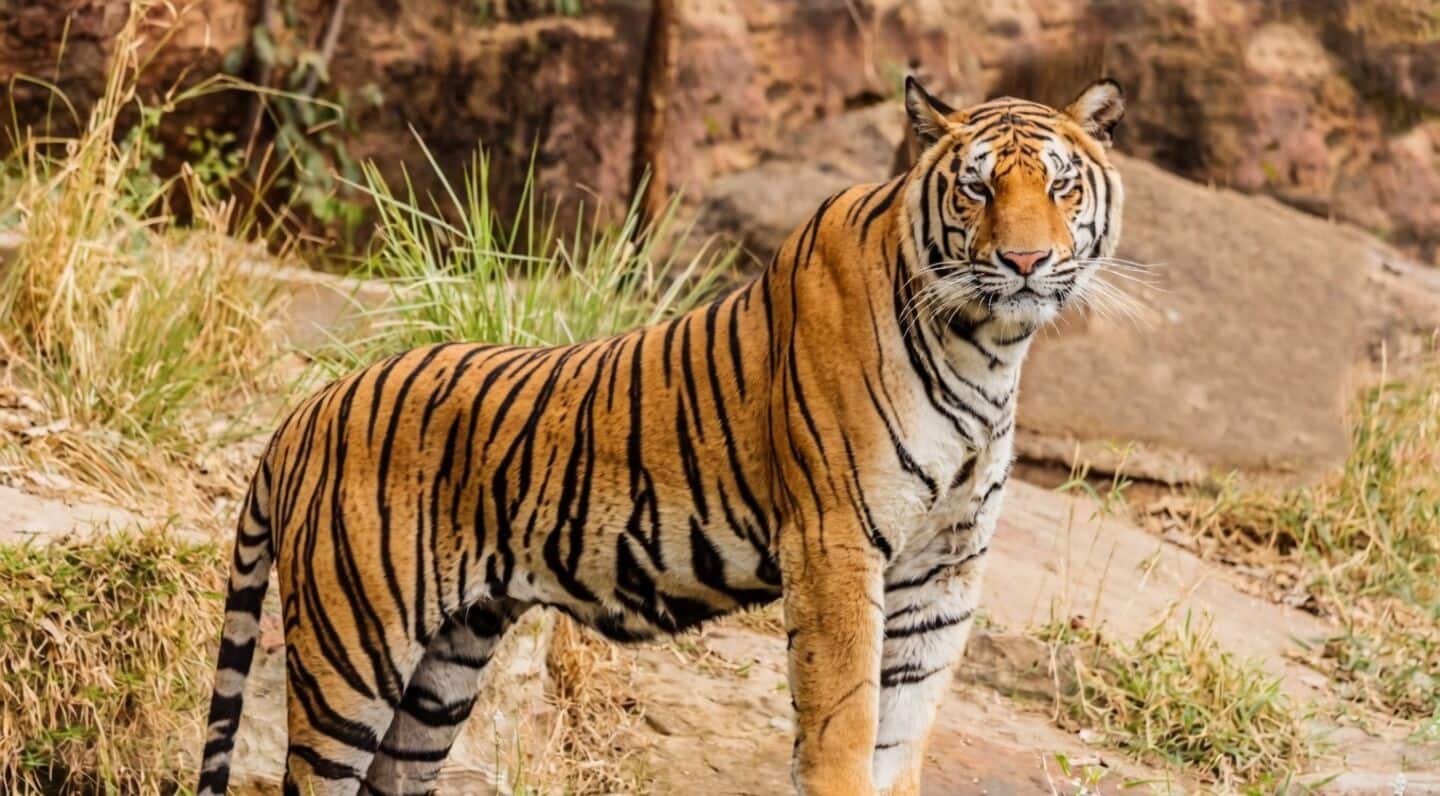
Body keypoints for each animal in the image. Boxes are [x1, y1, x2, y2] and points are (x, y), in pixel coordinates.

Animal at [197, 76, 1126, 796]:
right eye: (977, 189)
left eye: (1060, 188)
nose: (1026, 263)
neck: (988, 347)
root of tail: (305, 411)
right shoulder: (836, 544)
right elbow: (844, 721)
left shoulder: (945, 567)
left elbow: (903, 730)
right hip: (352, 653)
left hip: (446, 667)